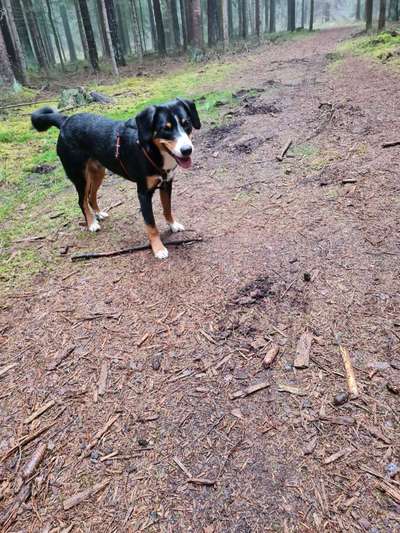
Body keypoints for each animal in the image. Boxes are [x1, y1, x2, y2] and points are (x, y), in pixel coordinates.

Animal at [31, 100, 202, 260]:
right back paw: (92, 223)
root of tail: (66, 120)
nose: (187, 150)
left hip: (98, 172)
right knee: (82, 201)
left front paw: (173, 225)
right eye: (166, 129)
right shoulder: (143, 193)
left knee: (91, 196)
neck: (151, 151)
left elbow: (167, 208)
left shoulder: (167, 184)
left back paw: (98, 214)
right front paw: (158, 248)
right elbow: (151, 225)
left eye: (186, 124)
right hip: (80, 176)